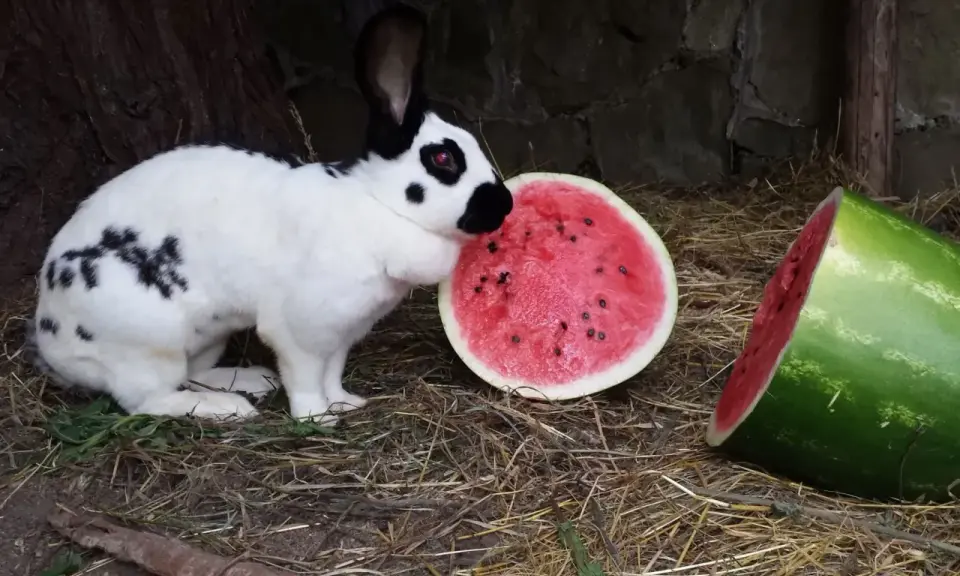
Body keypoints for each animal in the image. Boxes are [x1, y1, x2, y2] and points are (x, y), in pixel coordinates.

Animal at [25, 3, 513, 425]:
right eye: (443, 160)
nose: (504, 204)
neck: (377, 204)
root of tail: (52, 344)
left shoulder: (342, 335)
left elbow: (332, 373)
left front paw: (345, 402)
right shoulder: (301, 329)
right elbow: (305, 376)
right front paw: (316, 417)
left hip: (207, 335)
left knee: (193, 373)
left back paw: (250, 381)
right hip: (146, 342)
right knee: (151, 400)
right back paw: (228, 409)